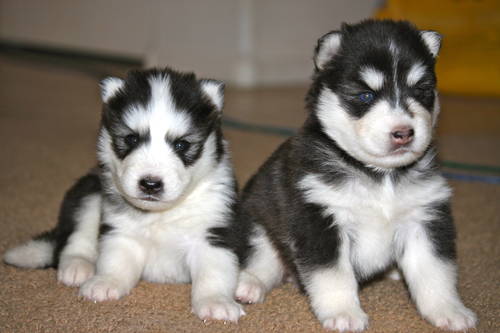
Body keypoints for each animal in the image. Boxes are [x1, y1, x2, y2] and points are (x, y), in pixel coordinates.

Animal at [3, 67, 246, 322]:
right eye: (131, 138)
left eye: (181, 145)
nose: (150, 184)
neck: (160, 215)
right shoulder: (121, 231)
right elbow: (115, 260)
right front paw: (106, 281)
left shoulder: (214, 233)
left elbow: (214, 272)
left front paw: (216, 302)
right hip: (90, 191)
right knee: (75, 237)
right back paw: (78, 265)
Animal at [234, 20, 476, 330]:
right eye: (365, 95)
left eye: (421, 90)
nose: (404, 133)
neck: (380, 176)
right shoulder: (320, 220)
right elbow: (333, 276)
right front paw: (343, 313)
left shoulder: (425, 217)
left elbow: (435, 272)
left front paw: (449, 310)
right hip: (259, 225)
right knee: (262, 260)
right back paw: (249, 284)